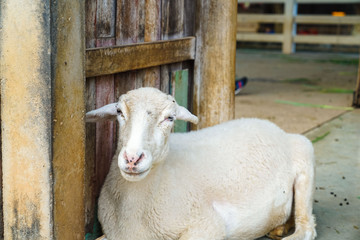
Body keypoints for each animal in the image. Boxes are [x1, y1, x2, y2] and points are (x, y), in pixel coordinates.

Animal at [86, 86, 316, 240]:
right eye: (119, 112)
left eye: (170, 118)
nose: (132, 158)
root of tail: (275, 127)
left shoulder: (207, 225)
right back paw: (279, 228)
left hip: (305, 157)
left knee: (307, 227)